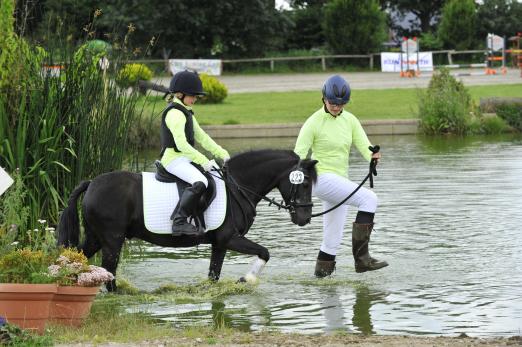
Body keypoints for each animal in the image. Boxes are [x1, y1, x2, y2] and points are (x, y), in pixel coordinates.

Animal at [57, 150, 316, 290]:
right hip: (112, 240)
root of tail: (92, 183)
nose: (305, 218)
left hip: (96, 238)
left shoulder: (220, 244)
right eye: (304, 183)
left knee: (78, 260)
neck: (236, 186)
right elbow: (265, 252)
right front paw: (247, 278)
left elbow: (214, 274)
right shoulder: (230, 238)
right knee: (109, 273)